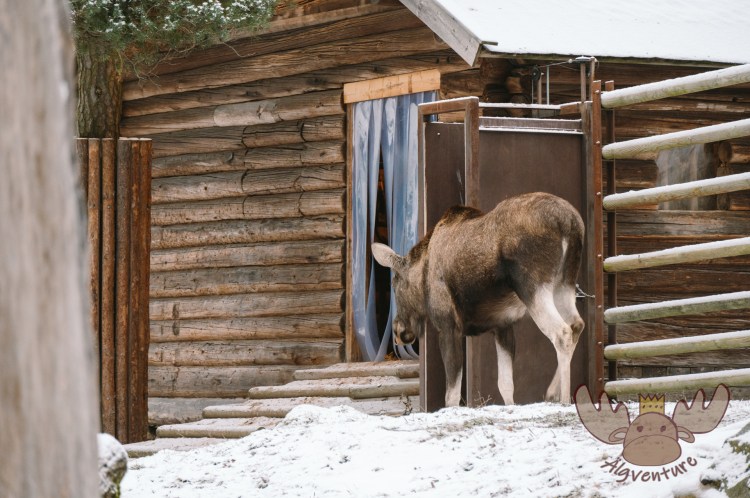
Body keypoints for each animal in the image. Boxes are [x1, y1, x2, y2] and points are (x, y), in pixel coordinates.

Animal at [372, 192, 585, 406]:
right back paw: (552, 392)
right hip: (564, 284)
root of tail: (569, 222)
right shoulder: (503, 326)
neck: (423, 272)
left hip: (533, 286)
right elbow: (505, 385)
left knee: (561, 331)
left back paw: (564, 399)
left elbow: (452, 395)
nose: (399, 331)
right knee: (576, 324)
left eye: (394, 285)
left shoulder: (448, 326)